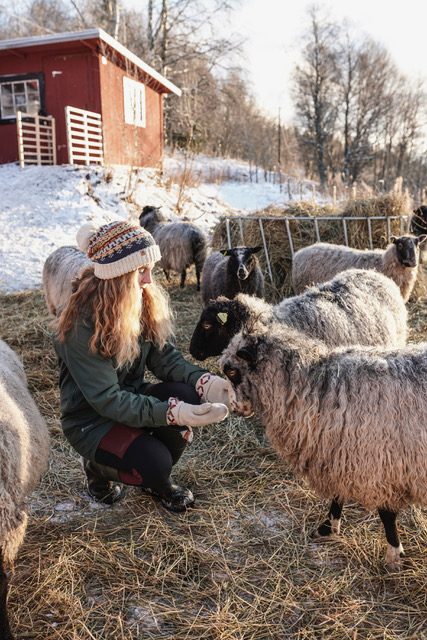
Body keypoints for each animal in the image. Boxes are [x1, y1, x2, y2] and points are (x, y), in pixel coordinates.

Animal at [219, 324, 427, 568]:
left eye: (232, 372)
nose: (235, 409)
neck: (315, 387)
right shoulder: (339, 455)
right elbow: (338, 495)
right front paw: (328, 528)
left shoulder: (379, 466)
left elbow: (386, 515)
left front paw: (394, 555)